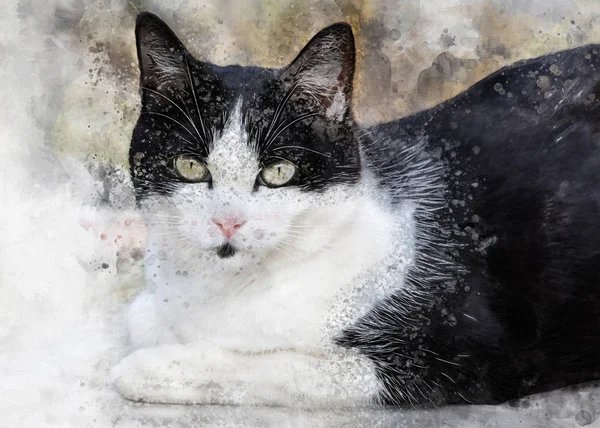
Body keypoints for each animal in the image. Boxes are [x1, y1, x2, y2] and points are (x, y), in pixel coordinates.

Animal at [110, 12, 600, 408]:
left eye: (279, 172)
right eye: (190, 166)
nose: (227, 221)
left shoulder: (464, 356)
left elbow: (282, 367)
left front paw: (150, 369)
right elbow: (140, 316)